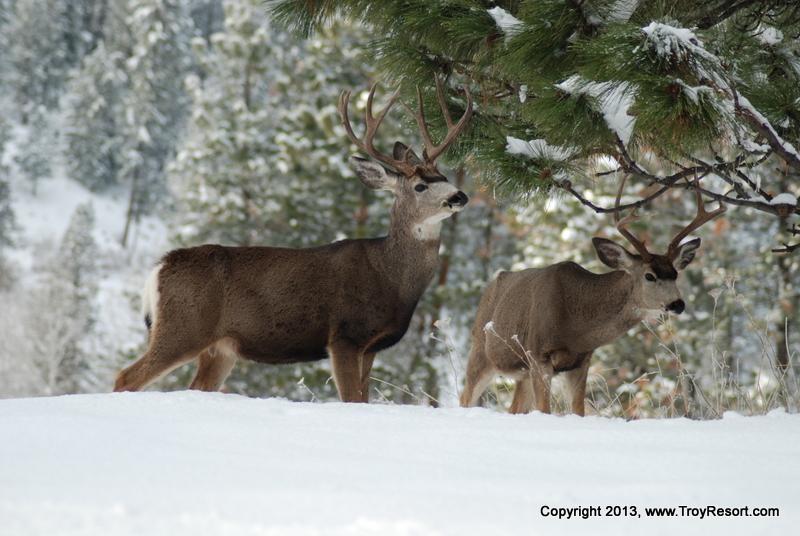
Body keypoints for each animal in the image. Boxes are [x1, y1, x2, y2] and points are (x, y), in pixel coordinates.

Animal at [115, 79, 472, 402]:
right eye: (420, 186)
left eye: (443, 175)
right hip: (184, 326)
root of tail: (159, 267)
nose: (460, 196)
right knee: (125, 377)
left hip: (219, 347)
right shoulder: (344, 335)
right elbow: (351, 399)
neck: (391, 276)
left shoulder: (371, 347)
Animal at [456, 186, 724, 416]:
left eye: (675, 273)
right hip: (480, 351)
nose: (678, 304)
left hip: (521, 374)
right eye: (650, 275)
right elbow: (545, 410)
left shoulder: (581, 361)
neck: (575, 326)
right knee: (465, 397)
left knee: (514, 409)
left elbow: (578, 410)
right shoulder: (538, 353)